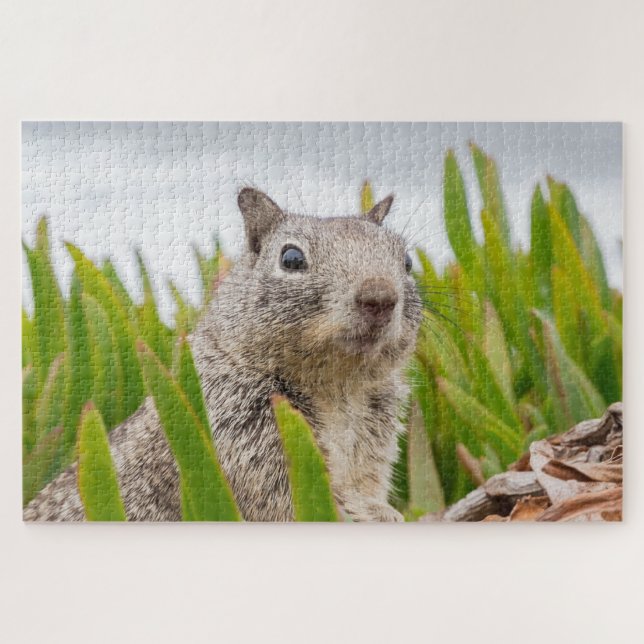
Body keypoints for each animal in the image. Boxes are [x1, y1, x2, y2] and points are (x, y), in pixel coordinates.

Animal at [24, 188, 423, 522]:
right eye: (291, 258)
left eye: (406, 261)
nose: (379, 297)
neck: (338, 387)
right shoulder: (241, 435)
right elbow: (292, 499)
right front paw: (363, 513)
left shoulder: (375, 438)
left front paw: (383, 511)